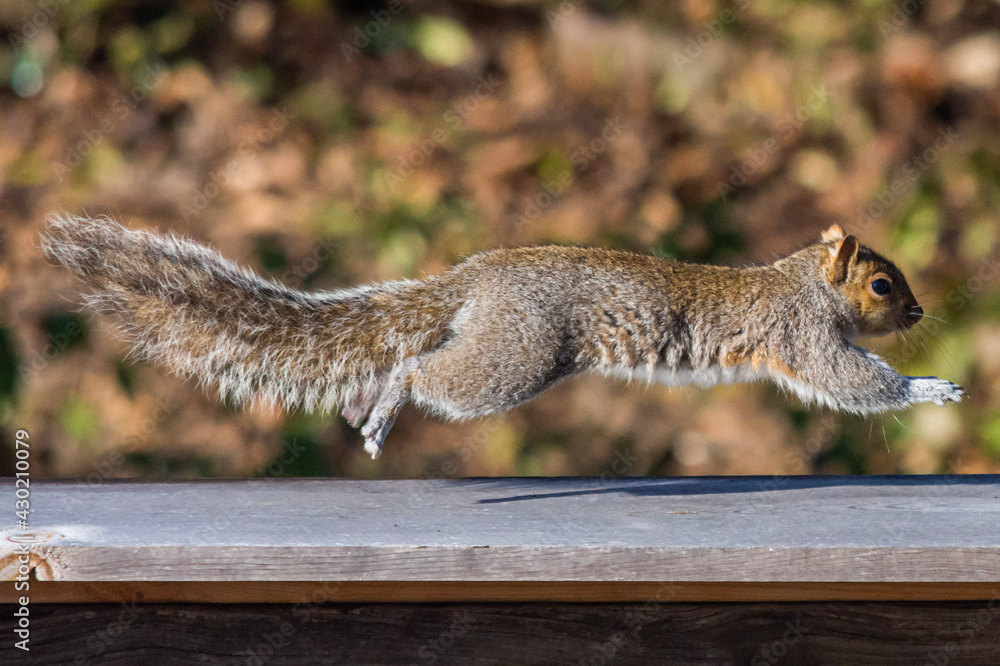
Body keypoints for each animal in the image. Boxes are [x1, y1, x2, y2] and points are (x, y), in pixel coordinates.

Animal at [42, 214, 964, 459]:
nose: (920, 315)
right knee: (421, 371)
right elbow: (849, 380)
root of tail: (473, 282)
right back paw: (387, 405)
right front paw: (931, 387)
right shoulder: (805, 336)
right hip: (518, 358)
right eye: (882, 285)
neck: (801, 279)